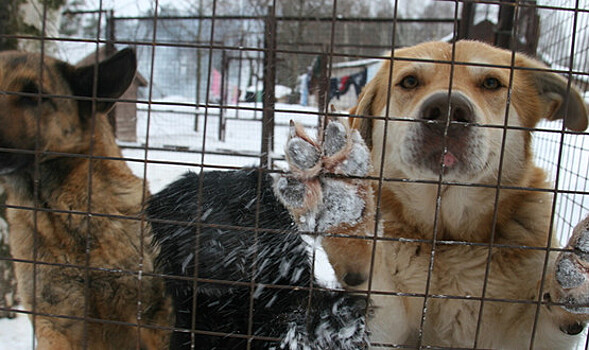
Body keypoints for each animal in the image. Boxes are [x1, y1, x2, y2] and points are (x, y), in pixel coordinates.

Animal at [276, 40, 588, 348]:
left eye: (491, 83)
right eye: (410, 81)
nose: (447, 110)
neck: (449, 237)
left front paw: (578, 274)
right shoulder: (385, 327)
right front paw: (345, 210)